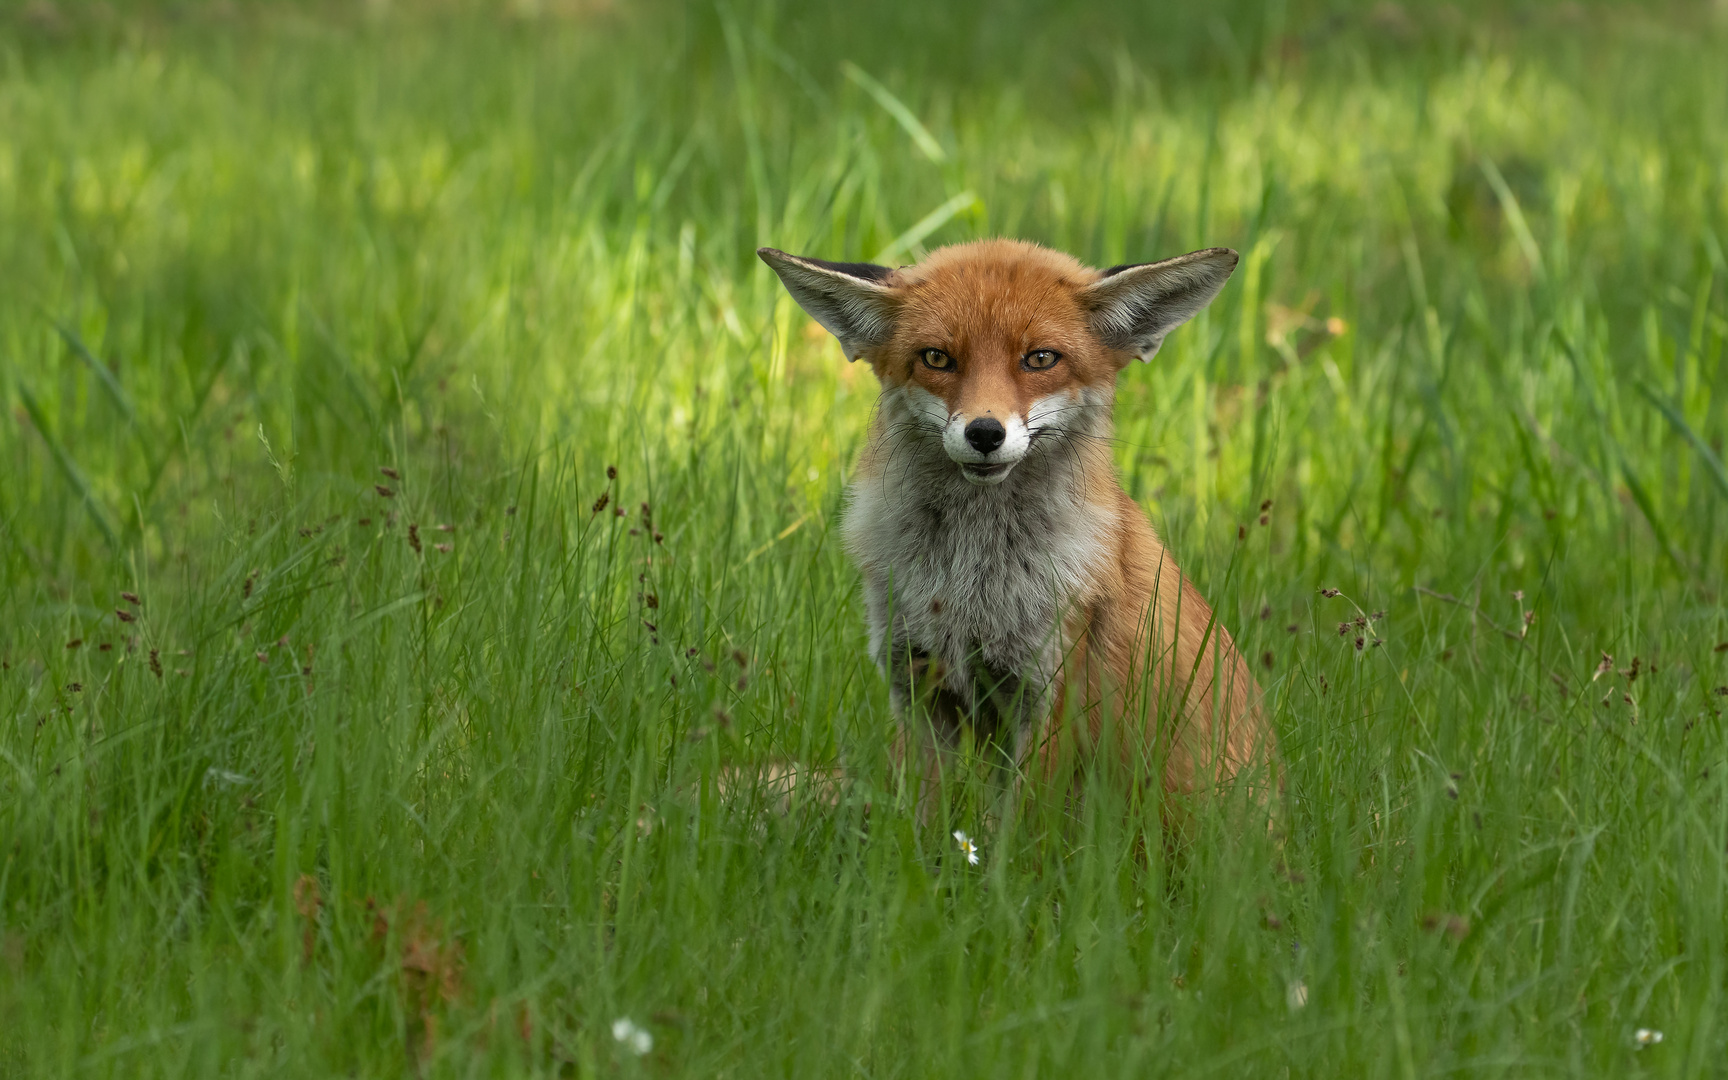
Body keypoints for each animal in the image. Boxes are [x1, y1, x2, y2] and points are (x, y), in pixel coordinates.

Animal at [763, 240, 1278, 822]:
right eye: (936, 358)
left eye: (1041, 359)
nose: (985, 433)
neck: (968, 581)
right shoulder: (918, 689)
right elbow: (919, 824)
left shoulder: (1049, 698)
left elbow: (1018, 835)